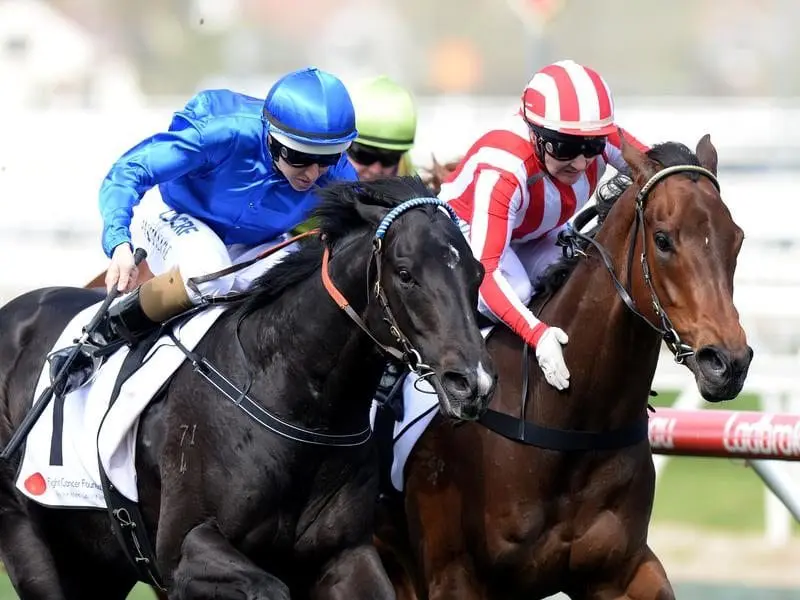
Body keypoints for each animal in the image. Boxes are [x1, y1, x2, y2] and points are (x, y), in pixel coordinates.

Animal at [0, 177, 496, 600]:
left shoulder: (345, 552)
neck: (293, 398)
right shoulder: (183, 550)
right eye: (405, 273)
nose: (472, 382)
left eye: (476, 274)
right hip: (31, 539)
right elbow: (267, 587)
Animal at [376, 137, 752, 600]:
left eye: (736, 239)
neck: (571, 423)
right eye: (663, 240)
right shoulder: (453, 575)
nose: (728, 363)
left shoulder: (619, 569)